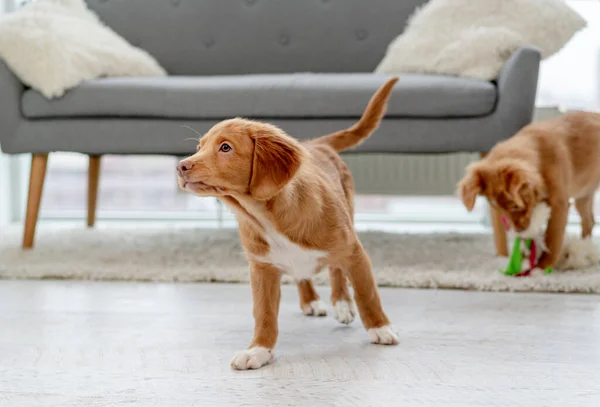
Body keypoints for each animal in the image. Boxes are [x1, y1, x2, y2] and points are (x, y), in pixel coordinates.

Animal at [178, 78, 400, 372]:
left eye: (225, 147)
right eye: (199, 146)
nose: (181, 167)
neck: (262, 215)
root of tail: (317, 144)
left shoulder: (355, 252)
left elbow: (367, 293)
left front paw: (380, 328)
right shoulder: (261, 268)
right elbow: (264, 313)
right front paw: (258, 350)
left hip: (348, 218)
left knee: (337, 271)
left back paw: (342, 303)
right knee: (302, 274)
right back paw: (310, 300)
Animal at [460, 112, 600, 270]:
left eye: (516, 206)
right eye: (498, 209)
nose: (518, 231)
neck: (542, 156)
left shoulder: (559, 205)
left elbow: (552, 237)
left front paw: (543, 266)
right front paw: (524, 258)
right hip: (583, 196)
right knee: (589, 221)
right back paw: (585, 249)